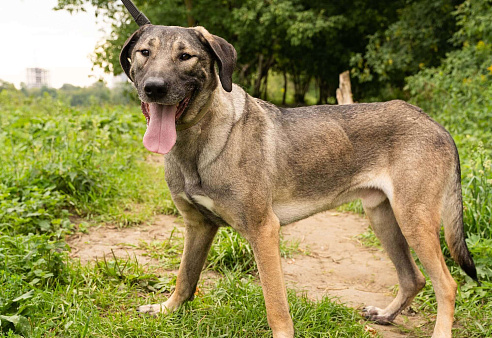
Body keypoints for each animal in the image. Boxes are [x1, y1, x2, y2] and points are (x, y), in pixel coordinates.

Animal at [119, 1, 476, 336]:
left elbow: (275, 303)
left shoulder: (264, 230)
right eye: (144, 53)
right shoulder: (197, 226)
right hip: (383, 217)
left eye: (186, 57)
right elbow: (185, 277)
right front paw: (167, 310)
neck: (196, 143)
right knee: (413, 278)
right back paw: (386, 315)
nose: (154, 87)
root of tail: (436, 125)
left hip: (413, 218)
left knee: (446, 284)